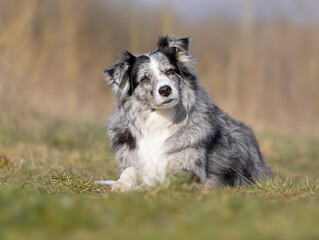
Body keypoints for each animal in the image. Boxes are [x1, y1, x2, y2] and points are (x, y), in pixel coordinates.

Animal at [97, 34, 272, 191]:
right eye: (144, 79)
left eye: (169, 71)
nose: (165, 89)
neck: (160, 120)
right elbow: (130, 170)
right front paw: (121, 184)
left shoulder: (190, 172)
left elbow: (159, 182)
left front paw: (141, 189)